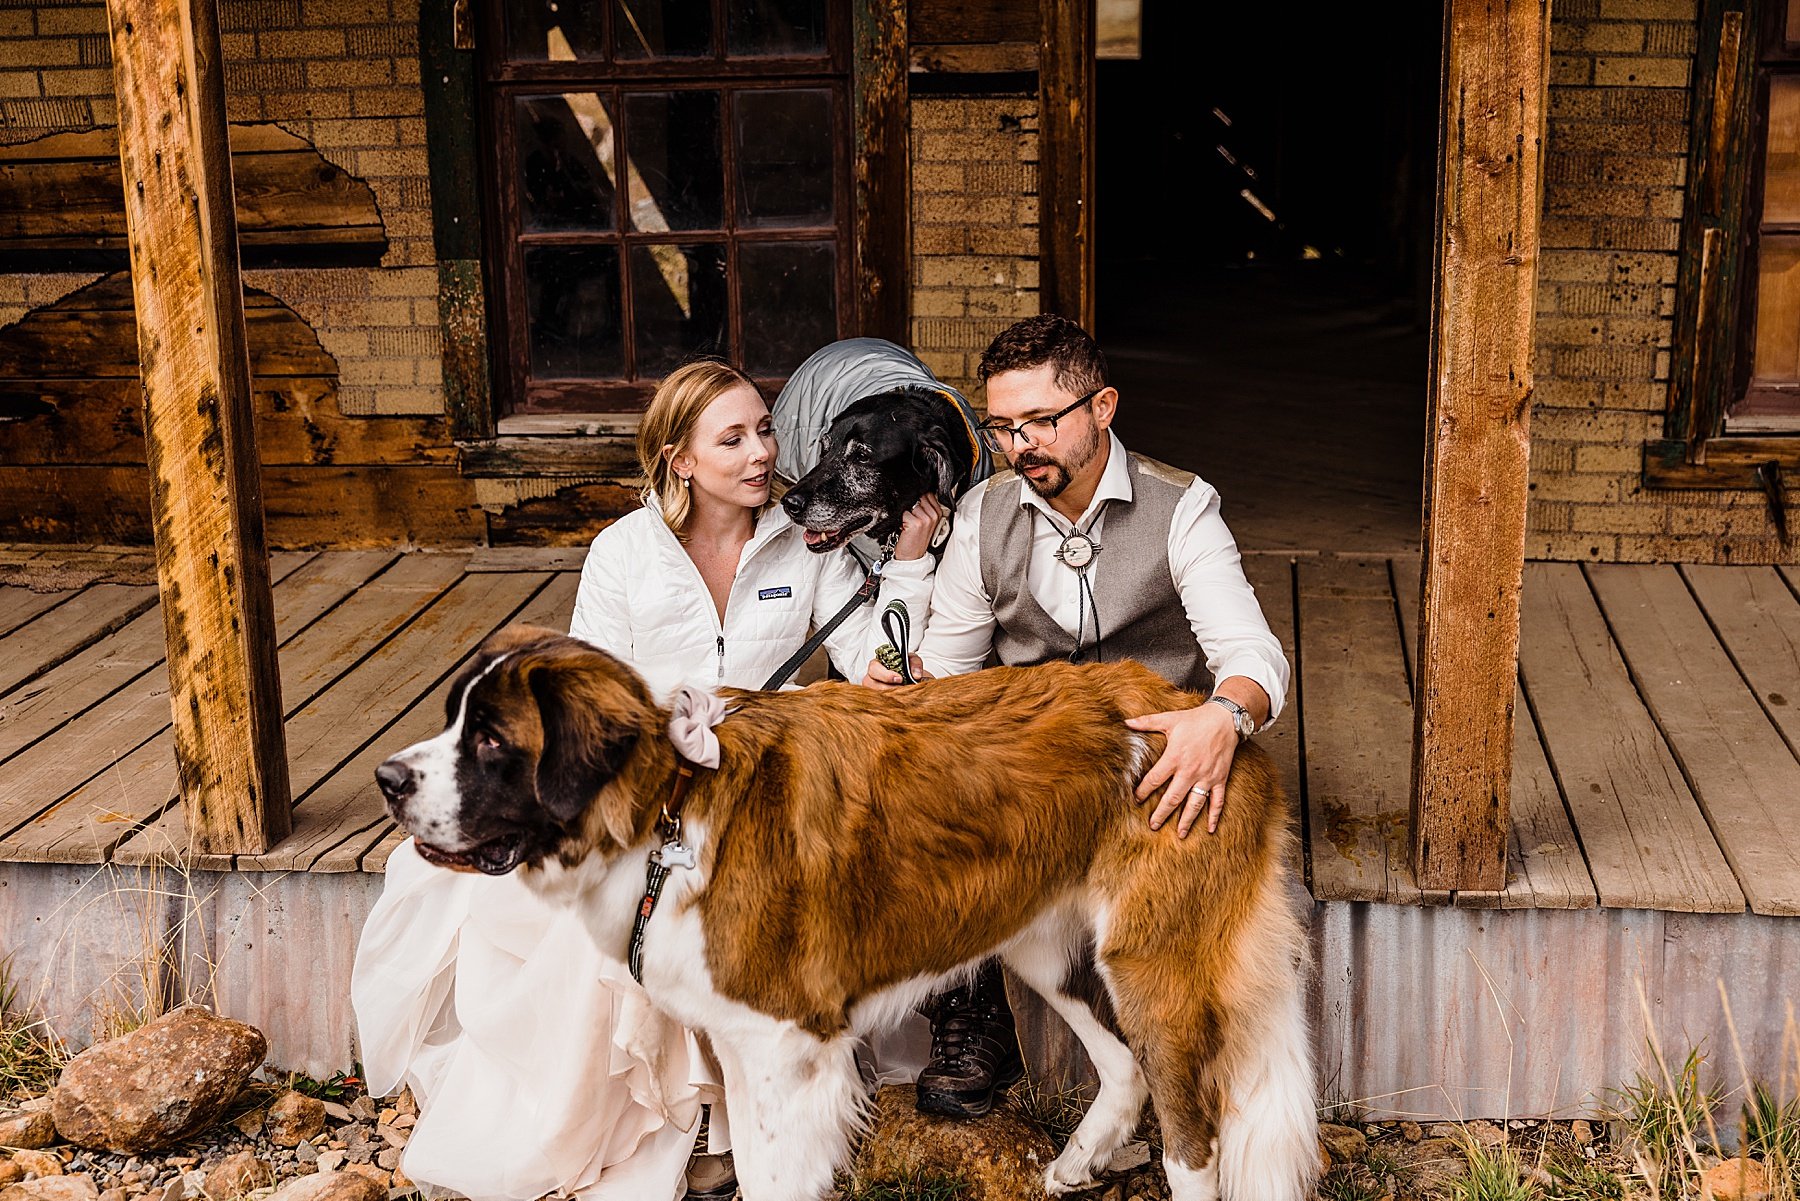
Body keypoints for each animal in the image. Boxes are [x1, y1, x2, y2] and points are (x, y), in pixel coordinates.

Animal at [372, 626, 1317, 1201]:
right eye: (455, 718)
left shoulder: (786, 1052)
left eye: (492, 740)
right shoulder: (744, 1044)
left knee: (1193, 1136)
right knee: (1122, 1068)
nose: (387, 778)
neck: (669, 804)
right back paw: (1073, 1164)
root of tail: (1205, 718)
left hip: (1155, 966)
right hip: (1046, 947)